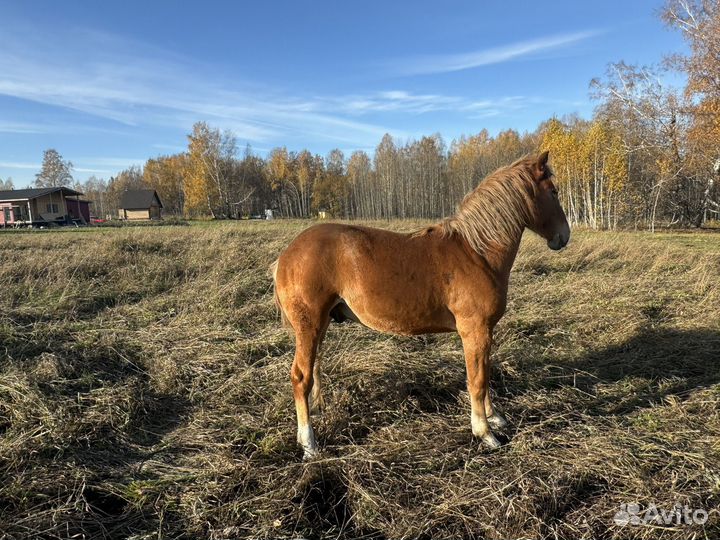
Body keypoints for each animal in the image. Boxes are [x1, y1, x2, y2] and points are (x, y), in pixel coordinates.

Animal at [271, 151, 570, 459]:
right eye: (553, 192)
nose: (564, 236)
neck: (476, 252)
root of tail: (286, 255)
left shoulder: (484, 332)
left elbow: (485, 375)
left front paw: (494, 417)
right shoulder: (475, 331)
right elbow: (477, 380)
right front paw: (485, 432)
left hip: (321, 325)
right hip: (309, 326)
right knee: (301, 377)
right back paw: (309, 444)